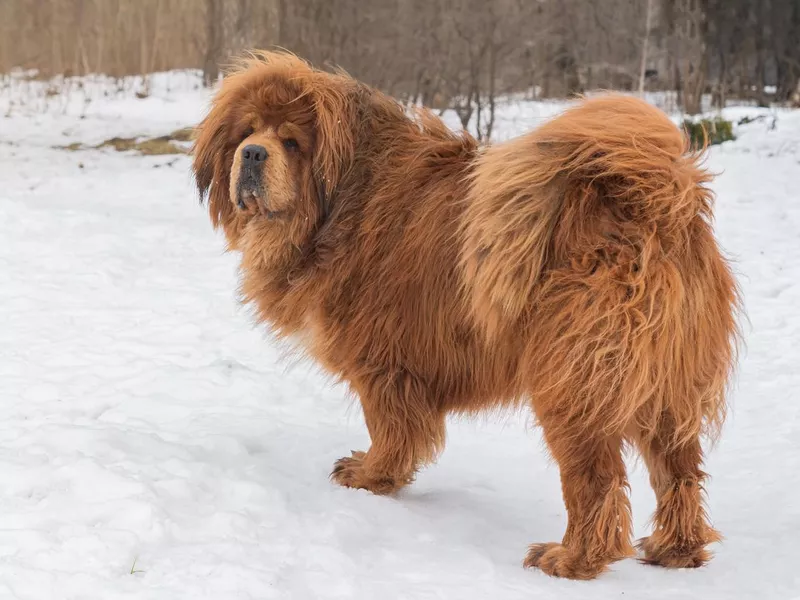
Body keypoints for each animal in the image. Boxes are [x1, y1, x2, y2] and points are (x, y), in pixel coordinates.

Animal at [191, 52, 740, 580]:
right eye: (246, 133)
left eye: (291, 141)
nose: (253, 153)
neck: (340, 200)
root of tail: (656, 202)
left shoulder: (382, 363)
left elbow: (389, 429)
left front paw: (371, 477)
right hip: (667, 389)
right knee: (679, 473)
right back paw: (676, 550)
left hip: (572, 383)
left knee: (597, 481)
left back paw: (573, 559)